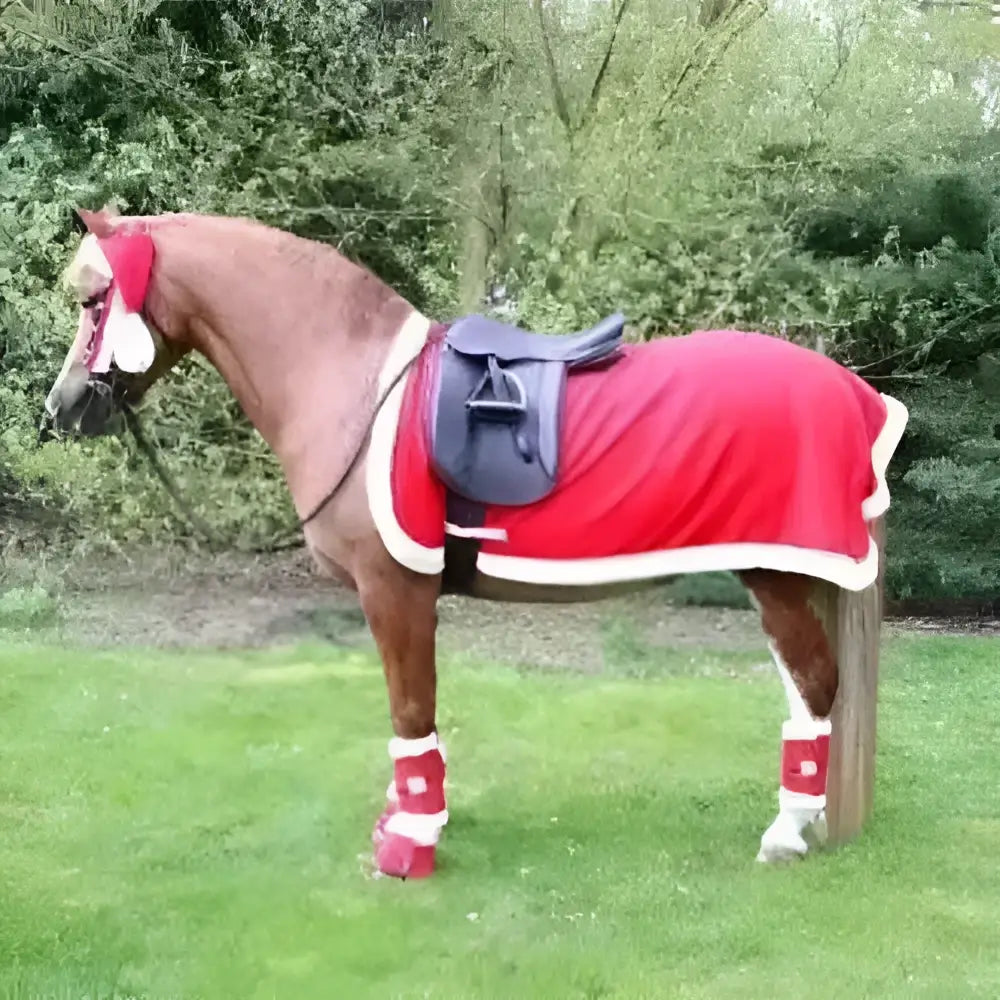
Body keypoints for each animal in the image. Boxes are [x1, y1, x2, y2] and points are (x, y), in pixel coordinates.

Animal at [44, 207, 908, 880]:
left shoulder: (393, 587)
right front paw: (405, 820)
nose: (62, 409)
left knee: (816, 686)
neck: (353, 381)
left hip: (773, 572)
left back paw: (786, 833)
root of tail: (856, 394)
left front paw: (410, 845)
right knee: (804, 691)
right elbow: (409, 714)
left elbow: (410, 708)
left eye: (94, 301)